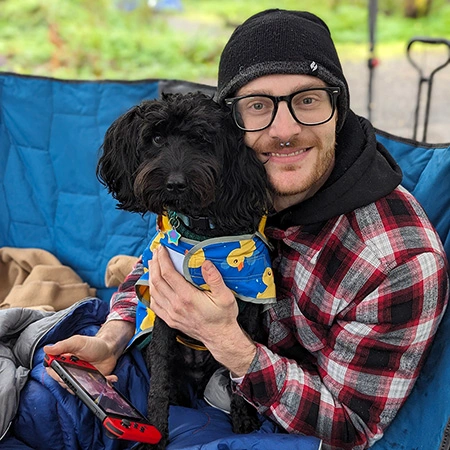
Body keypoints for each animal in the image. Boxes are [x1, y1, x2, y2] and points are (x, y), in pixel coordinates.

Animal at [96, 92, 270, 450]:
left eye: (201, 140)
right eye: (156, 138)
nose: (174, 184)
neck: (202, 229)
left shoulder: (248, 304)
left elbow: (243, 370)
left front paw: (244, 418)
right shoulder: (165, 308)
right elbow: (159, 381)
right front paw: (156, 432)